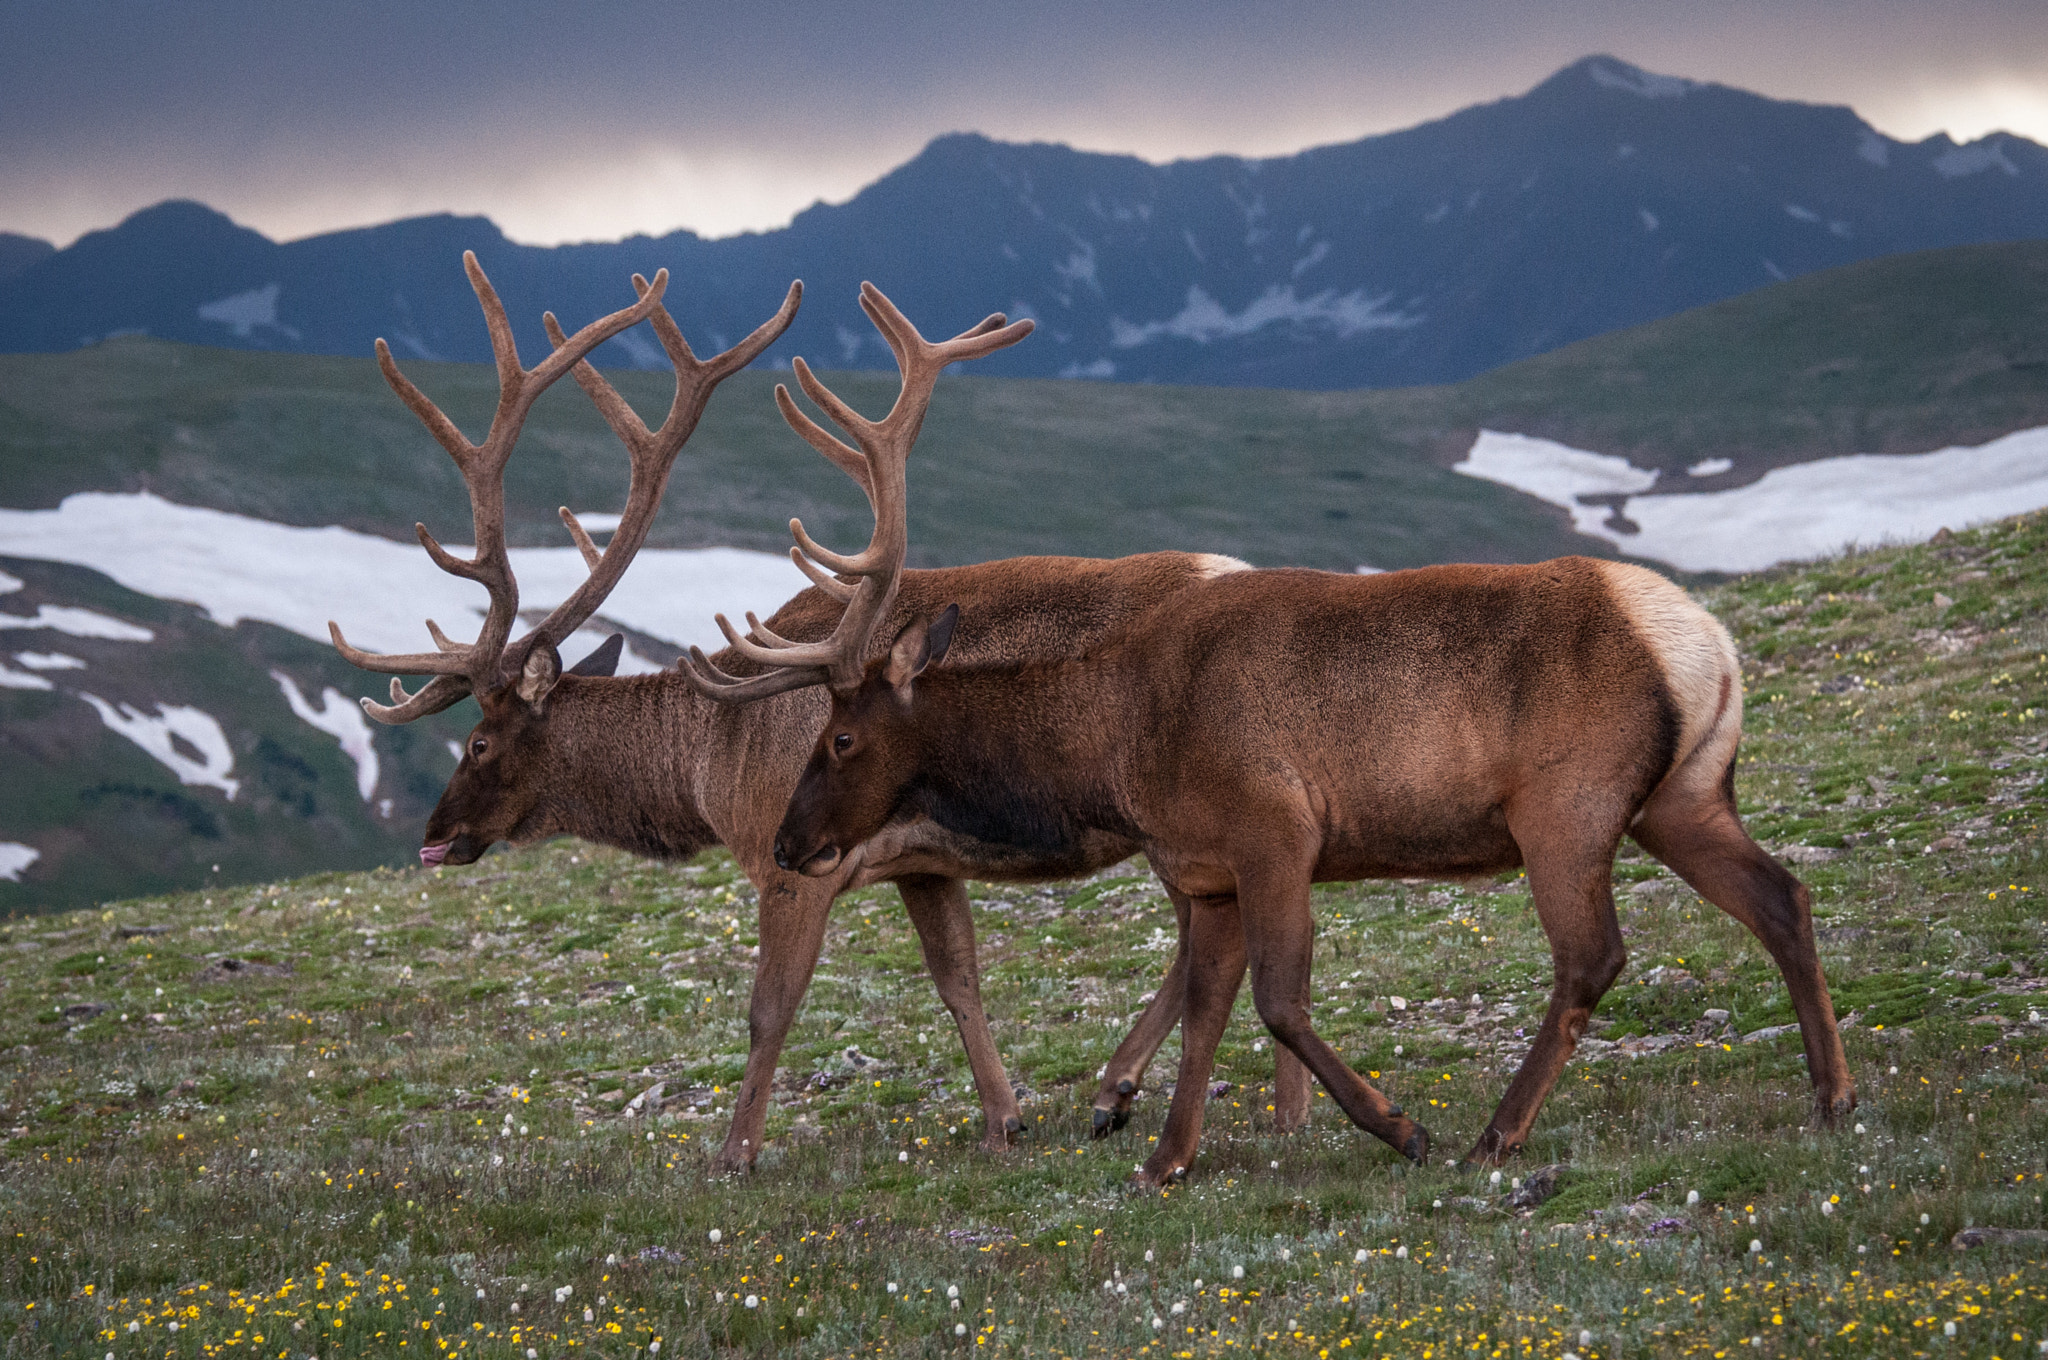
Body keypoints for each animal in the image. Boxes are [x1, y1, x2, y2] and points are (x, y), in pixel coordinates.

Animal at [333, 253, 1306, 1172]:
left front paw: (734, 1152)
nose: (433, 834)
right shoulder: (922, 862)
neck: (705, 764)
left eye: (478, 740)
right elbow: (958, 979)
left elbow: (770, 1007)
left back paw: (1175, 1097)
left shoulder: (790, 855)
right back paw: (1192, 1097)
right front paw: (1005, 1120)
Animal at [719, 531, 1859, 1184]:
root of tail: (1707, 644)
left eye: (840, 738)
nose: (789, 842)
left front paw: (1396, 1127)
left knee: (1593, 956)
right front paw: (1165, 1158)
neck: (1112, 743)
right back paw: (1832, 1096)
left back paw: (1493, 1135)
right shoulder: (1209, 868)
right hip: (1681, 798)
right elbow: (1206, 1009)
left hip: (1564, 809)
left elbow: (1275, 1000)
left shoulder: (1274, 828)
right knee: (1784, 897)